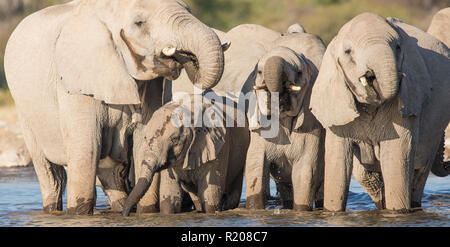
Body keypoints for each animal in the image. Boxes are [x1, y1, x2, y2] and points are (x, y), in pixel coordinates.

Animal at [4, 0, 225, 214]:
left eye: (188, 10)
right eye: (139, 23)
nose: (186, 57)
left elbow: (142, 140)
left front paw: (146, 212)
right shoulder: (76, 85)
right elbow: (87, 150)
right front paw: (79, 215)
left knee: (112, 173)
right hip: (25, 112)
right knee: (51, 174)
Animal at [310, 12, 450, 212]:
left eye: (398, 47)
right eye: (348, 52)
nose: (370, 76)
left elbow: (396, 156)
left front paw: (397, 213)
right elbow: (338, 161)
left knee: (419, 172)